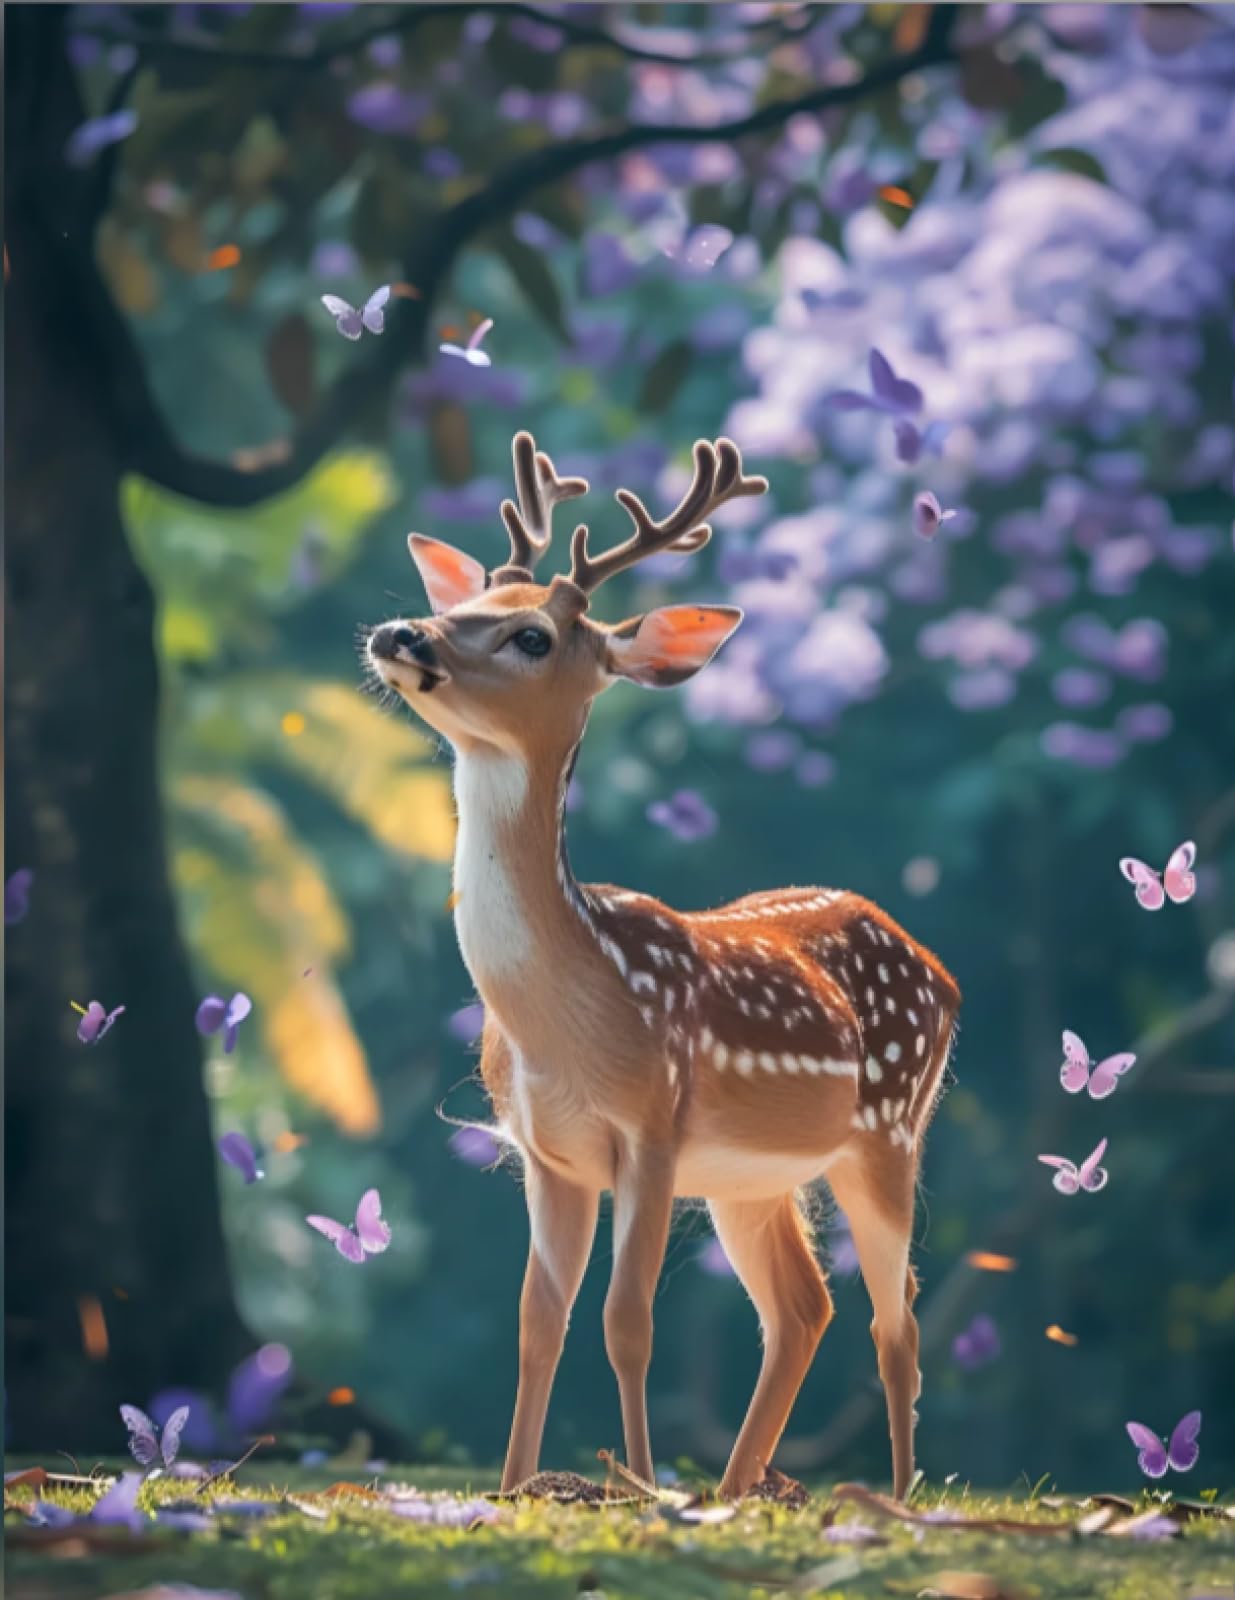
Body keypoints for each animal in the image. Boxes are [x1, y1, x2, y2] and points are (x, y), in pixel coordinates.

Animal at [364, 431, 960, 1501]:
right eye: (470, 598)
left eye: (531, 636)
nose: (403, 633)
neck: (568, 1014)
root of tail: (935, 965)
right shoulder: (545, 1154)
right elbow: (538, 1324)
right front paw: (515, 1490)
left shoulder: (651, 1127)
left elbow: (626, 1322)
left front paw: (638, 1487)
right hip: (750, 1179)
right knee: (803, 1308)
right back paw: (735, 1490)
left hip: (887, 1136)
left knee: (897, 1321)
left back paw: (888, 1498)